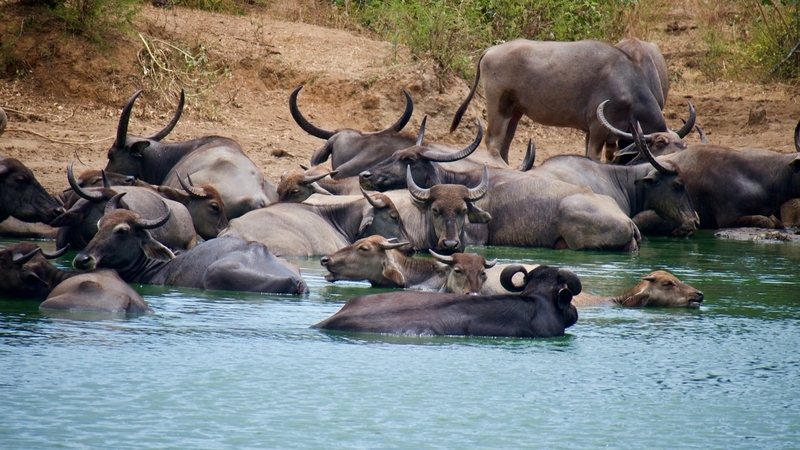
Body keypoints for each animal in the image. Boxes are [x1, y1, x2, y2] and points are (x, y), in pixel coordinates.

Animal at [450, 38, 692, 162]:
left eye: (684, 146)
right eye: (662, 145)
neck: (626, 83)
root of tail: (491, 50)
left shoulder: (595, 132)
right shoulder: (598, 130)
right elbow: (593, 157)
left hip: (515, 111)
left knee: (505, 144)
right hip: (499, 107)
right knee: (493, 140)